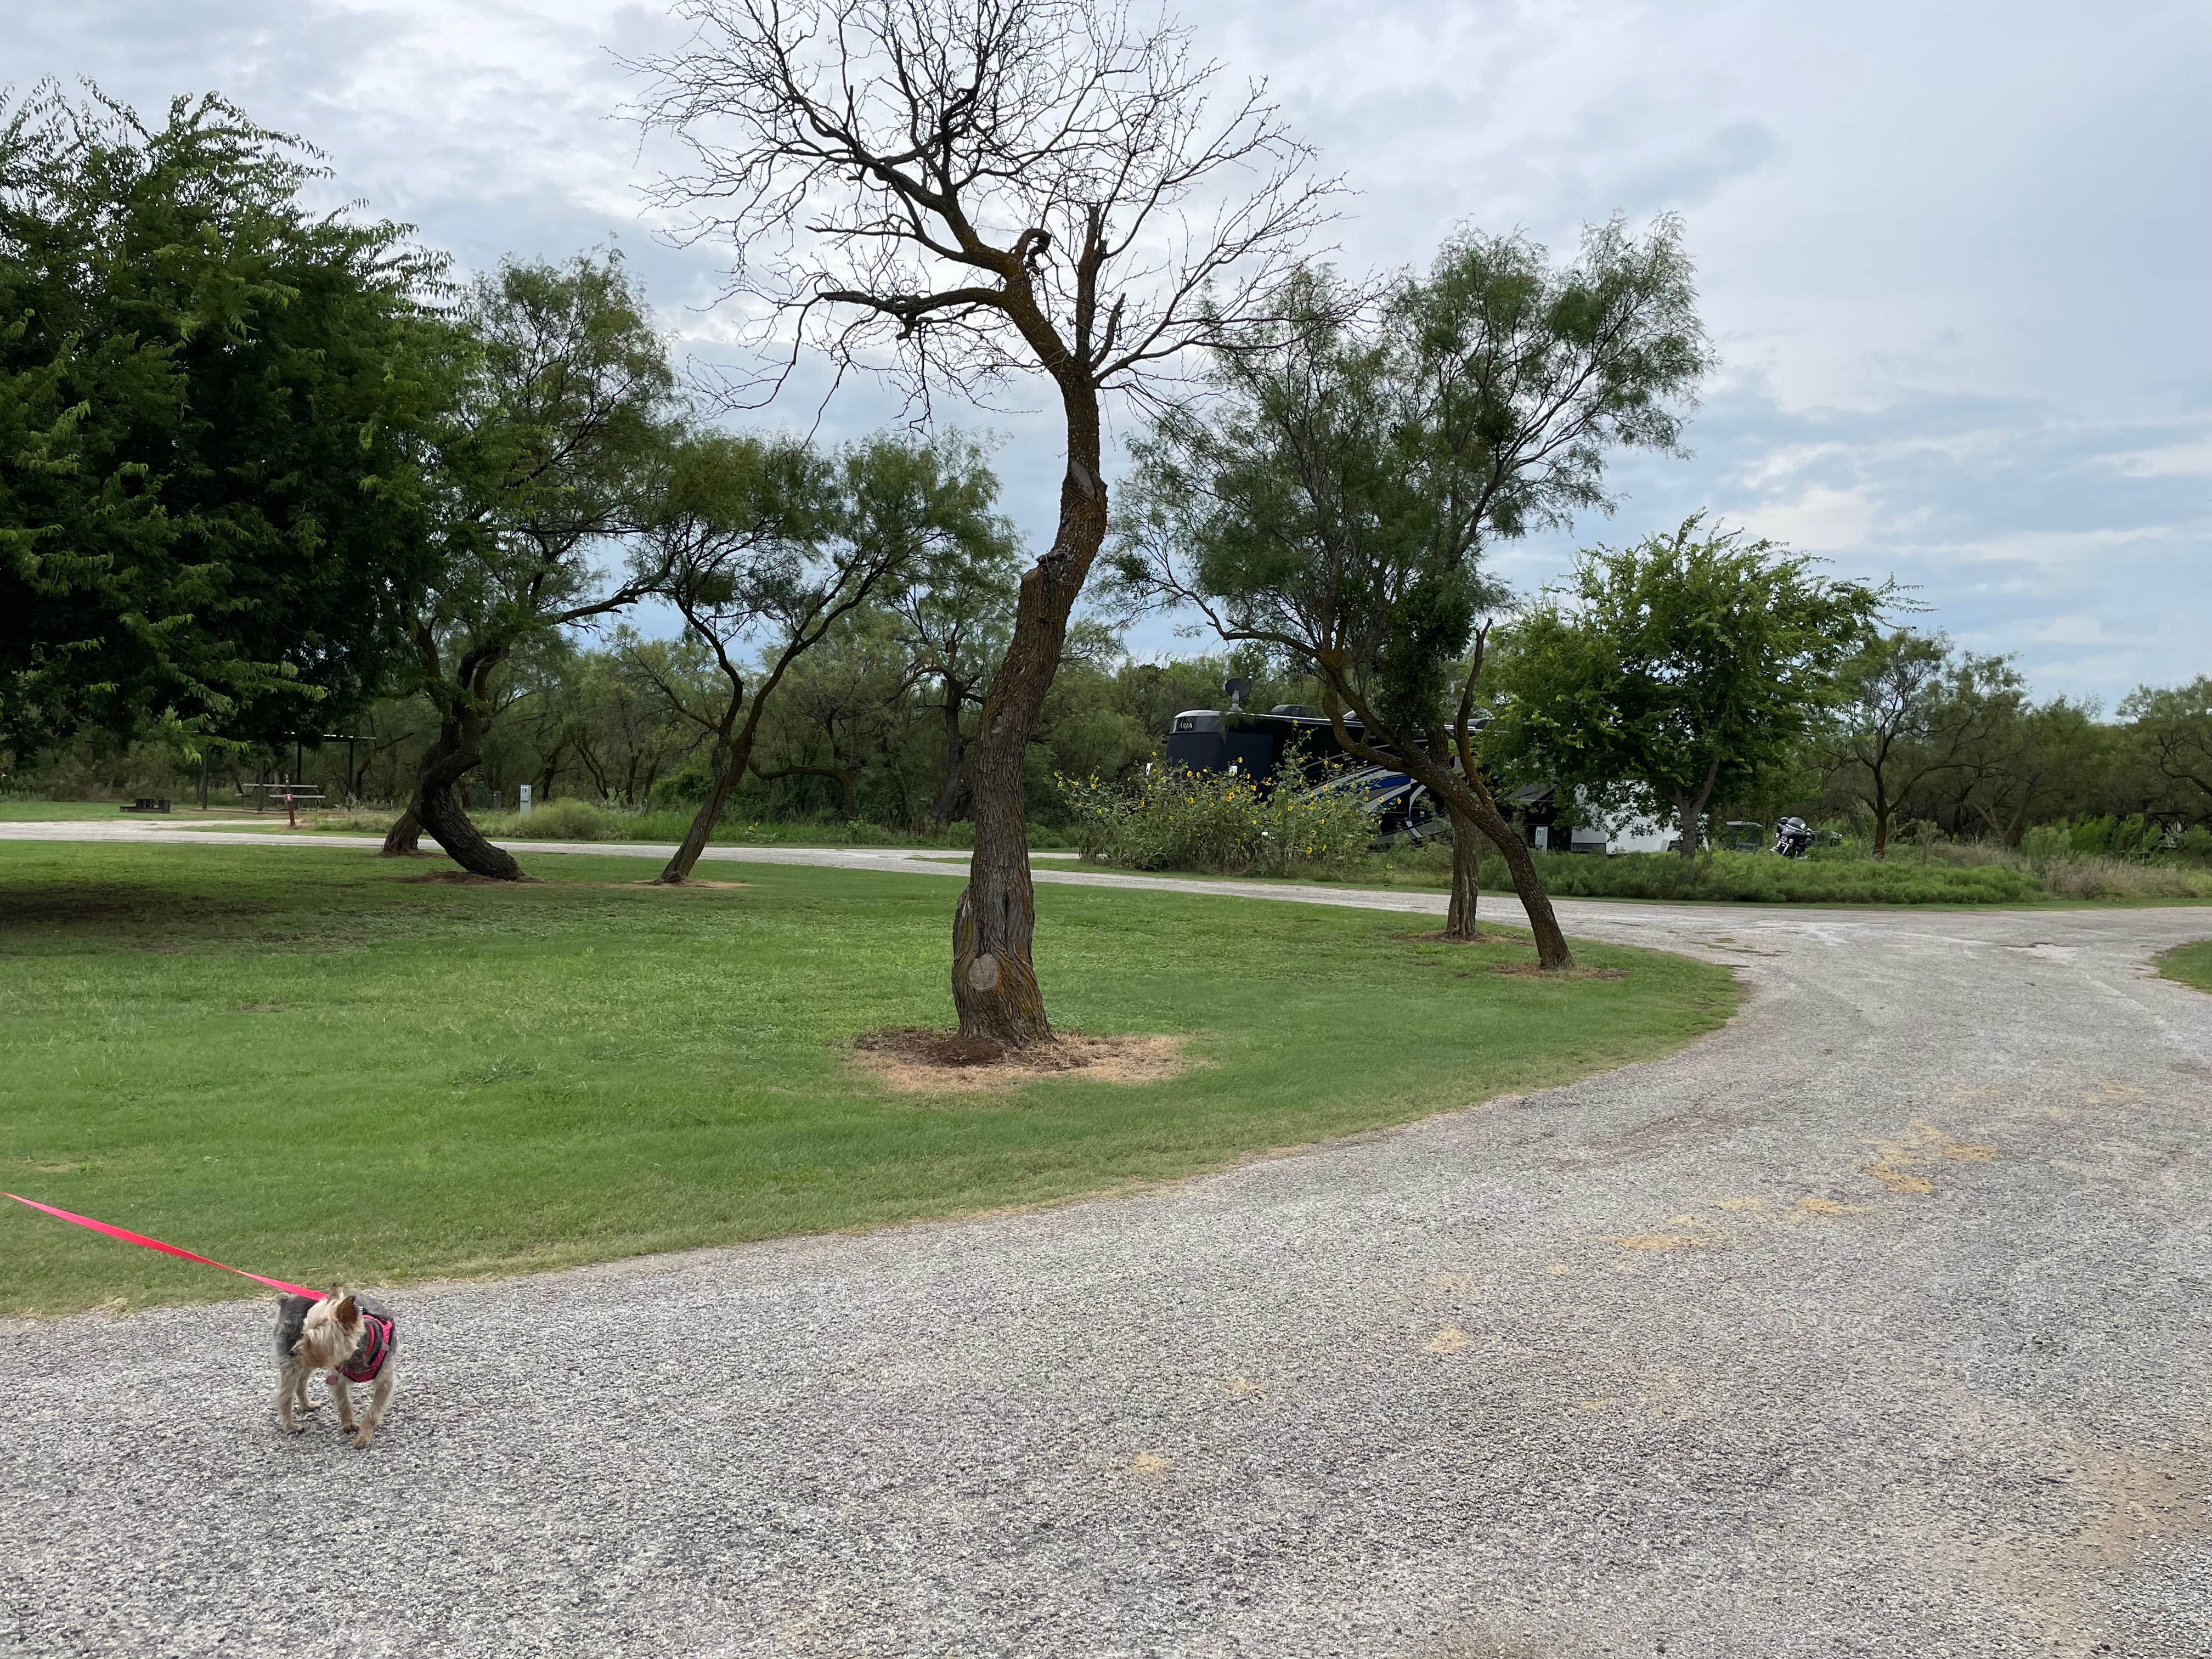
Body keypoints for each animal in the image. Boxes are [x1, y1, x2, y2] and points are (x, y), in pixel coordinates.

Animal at [275, 1291, 400, 1451]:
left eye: (313, 1341)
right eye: (302, 1334)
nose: (292, 1352)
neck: (357, 1354)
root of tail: (287, 1300)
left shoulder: (385, 1381)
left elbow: (373, 1411)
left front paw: (363, 1436)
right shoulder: (337, 1377)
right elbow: (344, 1402)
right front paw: (349, 1424)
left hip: (309, 1361)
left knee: (301, 1384)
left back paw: (307, 1406)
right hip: (294, 1365)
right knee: (284, 1396)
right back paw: (291, 1427)